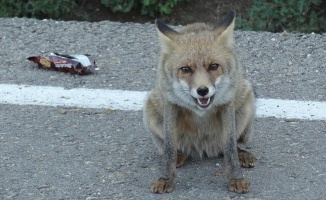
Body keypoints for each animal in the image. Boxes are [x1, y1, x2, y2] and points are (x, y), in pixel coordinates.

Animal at [143, 10, 258, 194]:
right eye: (186, 69)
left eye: (213, 66)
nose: (202, 90)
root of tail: (203, 148)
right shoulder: (171, 104)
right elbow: (169, 148)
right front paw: (166, 178)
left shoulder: (227, 103)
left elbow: (230, 146)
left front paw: (235, 178)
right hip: (150, 110)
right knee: (173, 148)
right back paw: (180, 155)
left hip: (246, 105)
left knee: (225, 148)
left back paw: (241, 153)